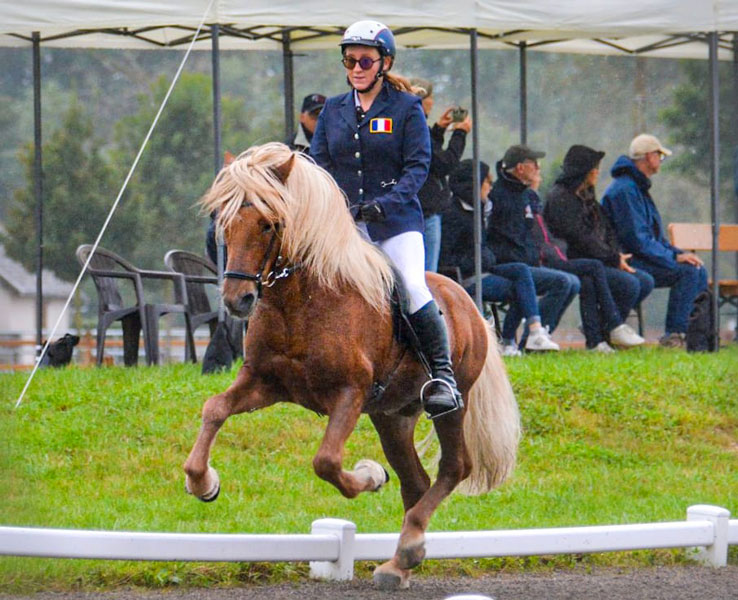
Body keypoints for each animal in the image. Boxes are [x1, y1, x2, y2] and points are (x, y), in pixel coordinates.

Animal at [183, 142, 516, 592]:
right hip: (393, 415)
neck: (301, 300)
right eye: (224, 221)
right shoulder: (263, 382)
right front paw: (203, 482)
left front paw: (370, 475)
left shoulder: (350, 394)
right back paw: (402, 560)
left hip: (450, 403)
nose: (238, 300)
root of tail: (467, 302)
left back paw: (407, 549)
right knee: (417, 481)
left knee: (454, 467)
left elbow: (326, 461)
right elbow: (214, 409)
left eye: (269, 224)